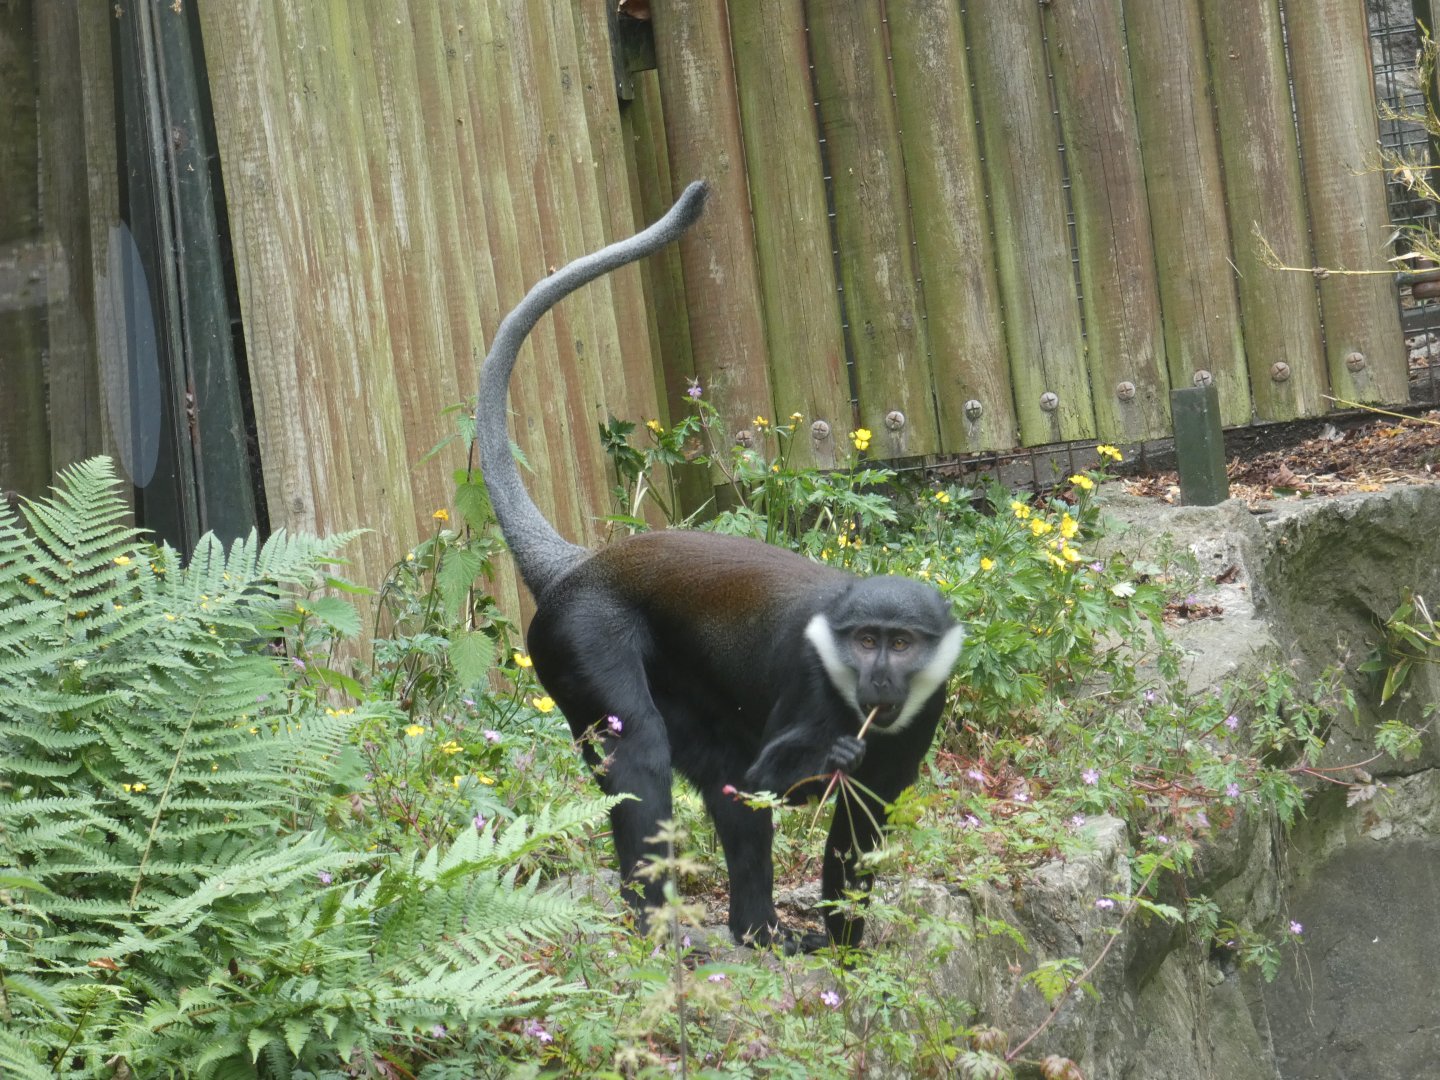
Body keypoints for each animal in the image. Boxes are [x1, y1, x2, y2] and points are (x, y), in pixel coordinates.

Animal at [477, 180, 963, 951]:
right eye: (866, 641)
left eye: (902, 642)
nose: (880, 679)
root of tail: (578, 566)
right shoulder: (809, 683)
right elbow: (765, 782)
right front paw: (830, 763)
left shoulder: (924, 707)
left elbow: (858, 823)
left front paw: (846, 952)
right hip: (580, 640)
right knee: (643, 753)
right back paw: (656, 926)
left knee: (722, 778)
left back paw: (756, 929)